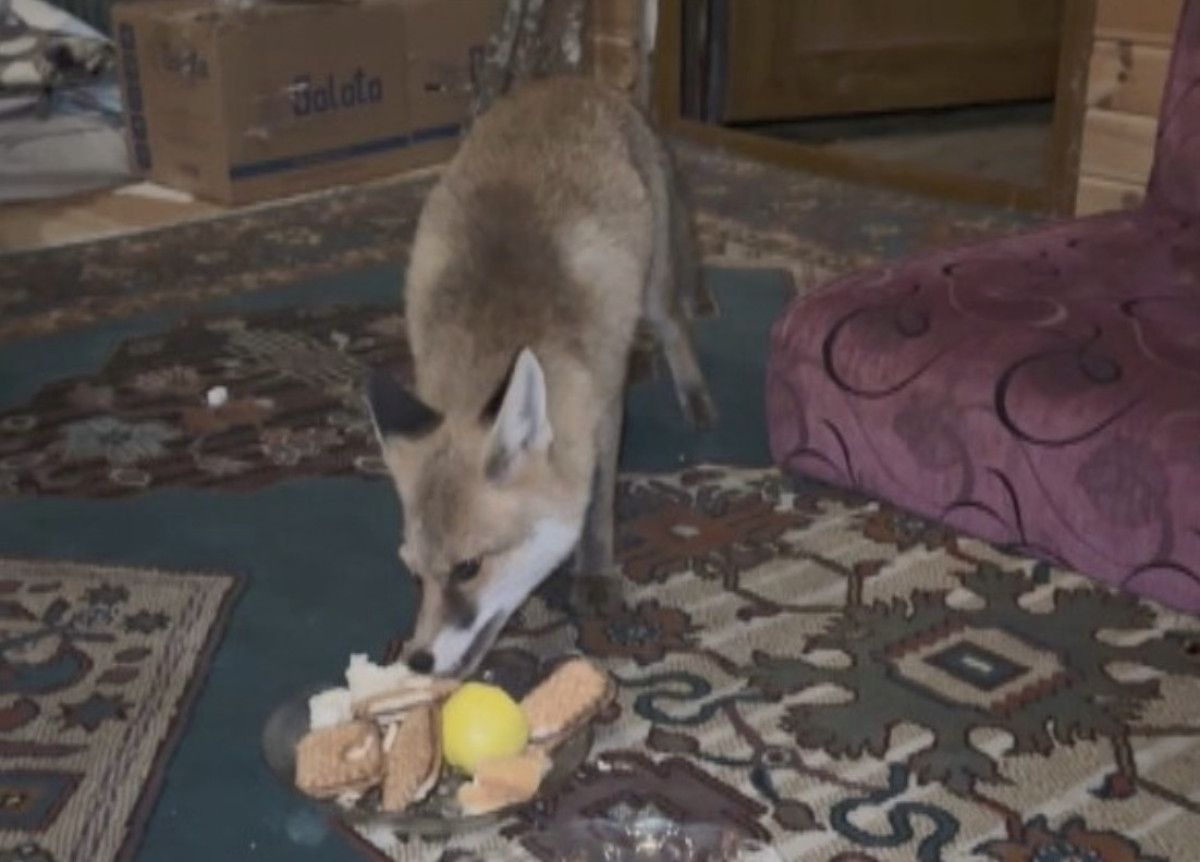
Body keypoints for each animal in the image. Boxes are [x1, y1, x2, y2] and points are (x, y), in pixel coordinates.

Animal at [365, 77, 713, 678]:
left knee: (676, 327)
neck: (497, 334)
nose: (419, 662)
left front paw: (593, 573)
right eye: (415, 574)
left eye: (468, 568)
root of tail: (575, 82)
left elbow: (597, 506)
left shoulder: (602, 408)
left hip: (653, 293)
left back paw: (695, 396)